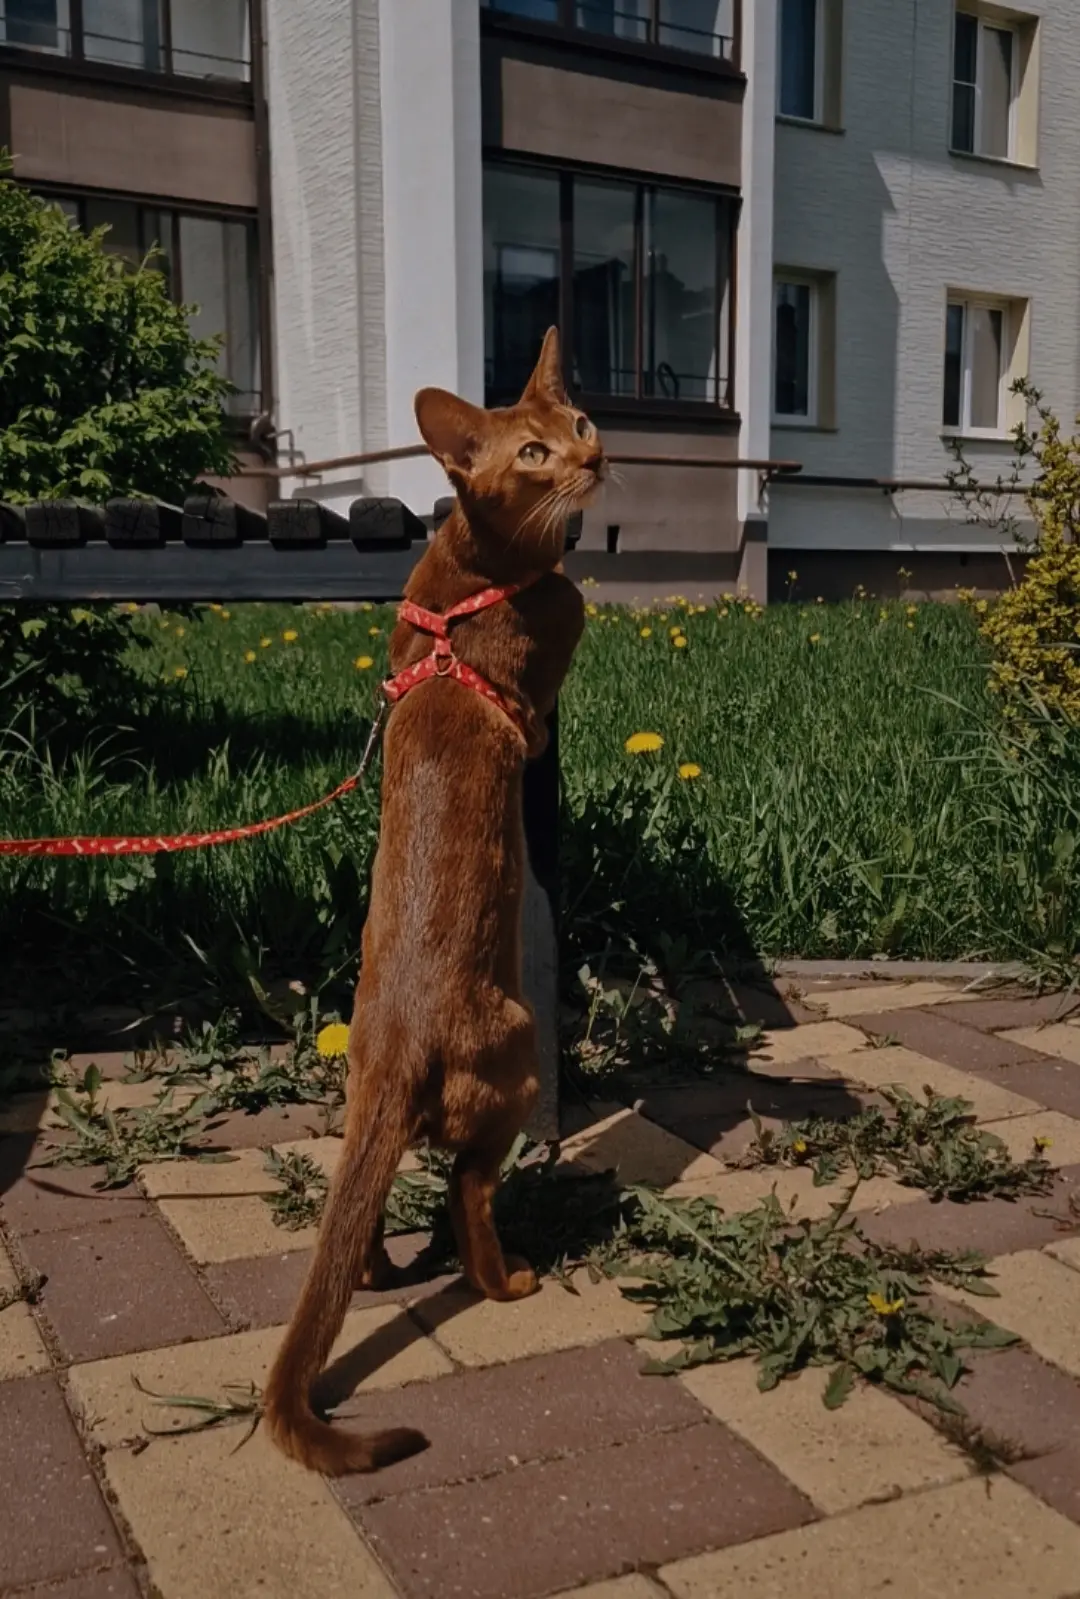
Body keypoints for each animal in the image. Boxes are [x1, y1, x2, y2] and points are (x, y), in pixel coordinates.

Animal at [262, 327, 603, 1475]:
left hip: (363, 1093)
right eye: (532, 453)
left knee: (359, 1209)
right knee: (468, 1192)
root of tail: (403, 1040)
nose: (593, 457)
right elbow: (551, 668)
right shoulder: (543, 679)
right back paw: (508, 1279)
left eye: (578, 421)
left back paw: (373, 1270)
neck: (470, 575)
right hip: (515, 1060)